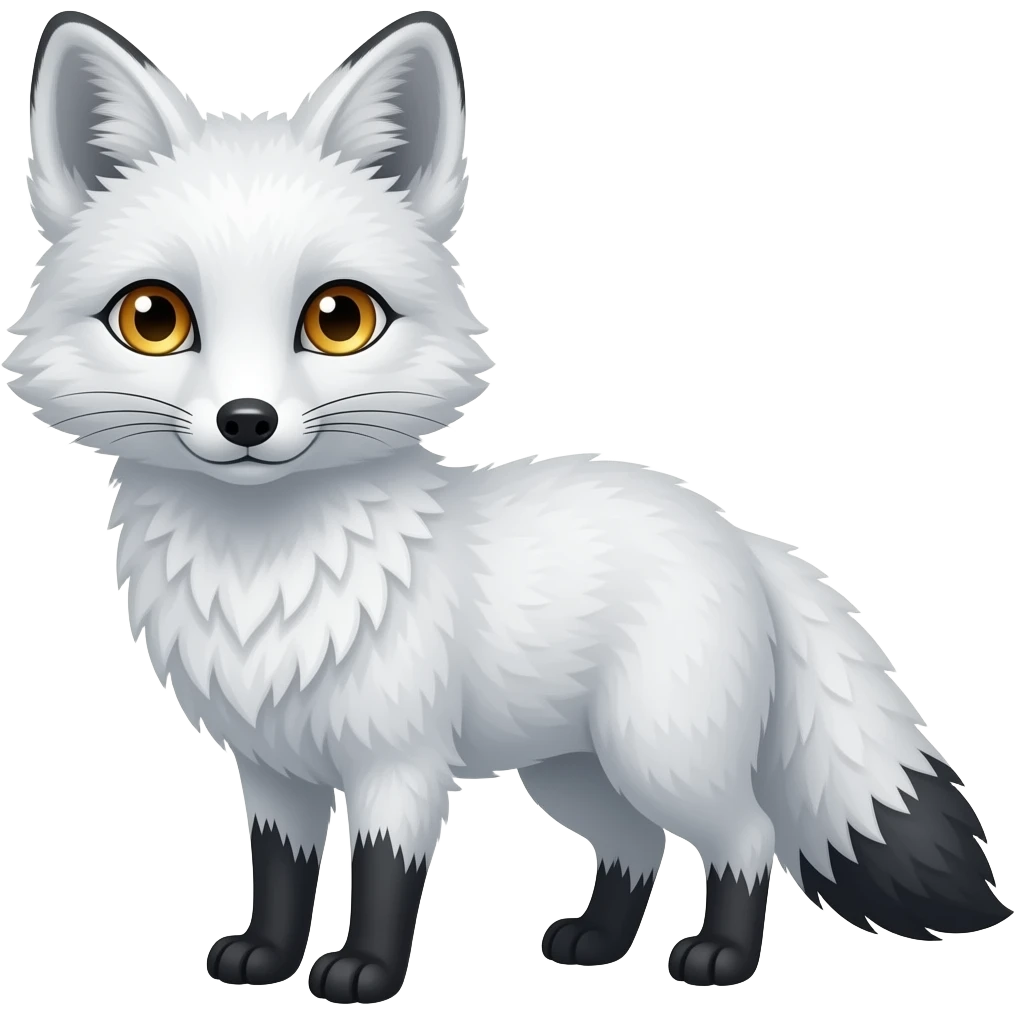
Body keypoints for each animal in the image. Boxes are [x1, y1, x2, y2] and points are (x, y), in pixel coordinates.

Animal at [7, 9, 1009, 1004]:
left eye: (338, 319)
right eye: (153, 318)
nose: (246, 420)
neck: (263, 582)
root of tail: (738, 532)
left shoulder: (398, 762)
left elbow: (383, 874)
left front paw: (365, 971)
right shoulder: (272, 769)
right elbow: (281, 873)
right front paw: (265, 955)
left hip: (659, 754)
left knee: (745, 835)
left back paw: (718, 956)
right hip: (573, 773)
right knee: (634, 847)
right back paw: (596, 941)